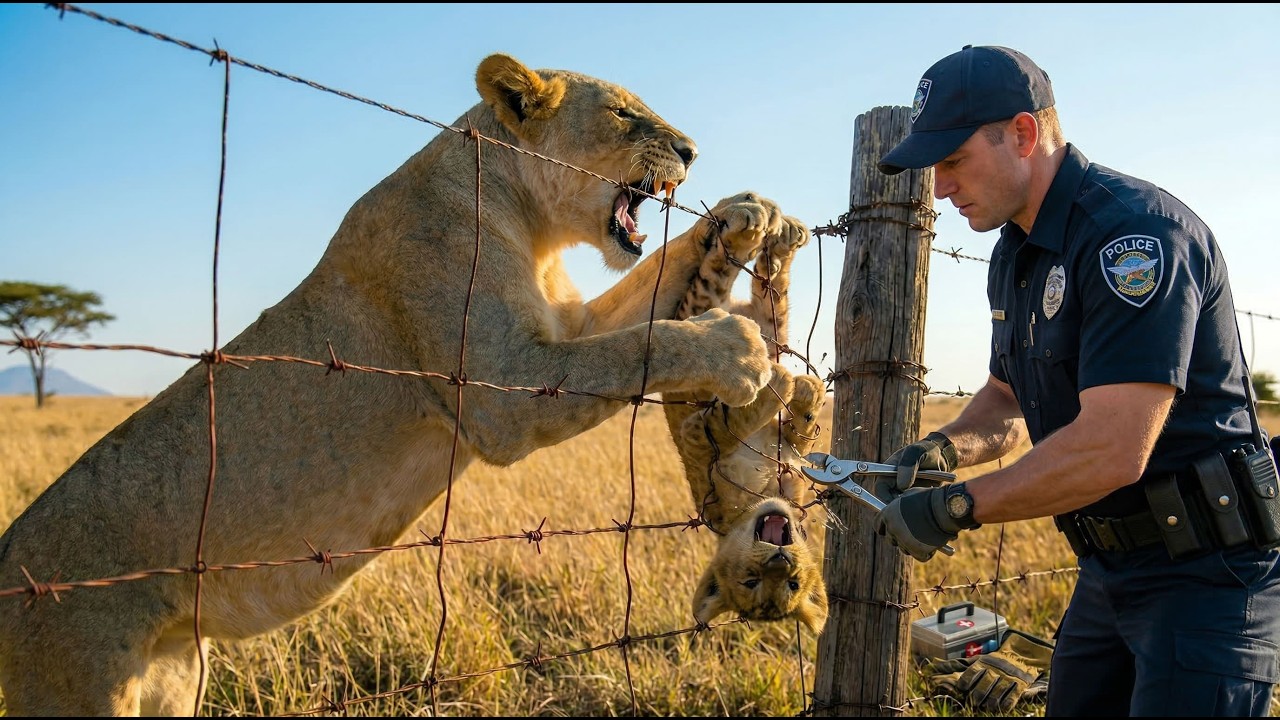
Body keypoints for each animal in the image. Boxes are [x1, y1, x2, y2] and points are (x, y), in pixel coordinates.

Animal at [0, 54, 790, 716]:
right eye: (624, 113)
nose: (691, 153)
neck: (533, 226)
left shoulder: (565, 326)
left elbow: (646, 289)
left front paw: (741, 213)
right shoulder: (503, 387)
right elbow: (639, 346)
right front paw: (738, 349)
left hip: (172, 678)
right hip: (80, 684)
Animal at [661, 198, 829, 634]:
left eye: (792, 583)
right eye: (751, 582)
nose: (779, 556)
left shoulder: (791, 469)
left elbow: (799, 435)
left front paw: (806, 393)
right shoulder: (697, 442)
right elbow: (723, 424)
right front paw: (782, 387)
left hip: (768, 323)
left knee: (769, 290)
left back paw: (779, 235)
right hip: (701, 311)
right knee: (715, 273)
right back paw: (749, 224)